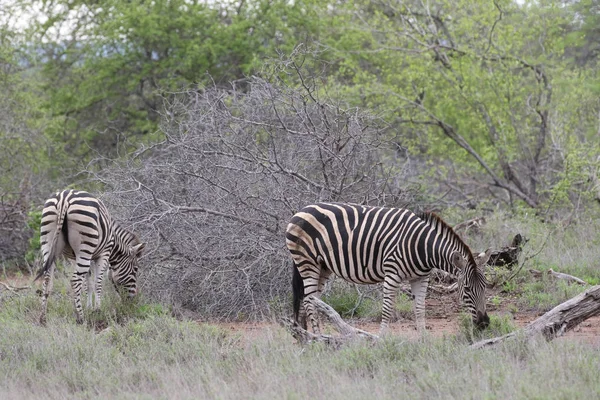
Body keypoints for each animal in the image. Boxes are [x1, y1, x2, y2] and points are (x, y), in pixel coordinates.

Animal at [35, 189, 145, 324]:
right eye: (136, 269)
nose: (133, 300)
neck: (114, 241)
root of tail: (64, 198)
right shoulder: (103, 253)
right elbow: (98, 282)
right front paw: (97, 310)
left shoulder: (79, 257)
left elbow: (88, 283)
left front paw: (89, 307)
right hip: (84, 245)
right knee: (75, 281)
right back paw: (80, 318)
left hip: (48, 243)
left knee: (47, 279)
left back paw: (43, 317)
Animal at [284, 203, 490, 334]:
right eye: (467, 289)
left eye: (485, 288)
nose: (484, 323)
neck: (422, 247)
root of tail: (300, 210)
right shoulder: (392, 274)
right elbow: (387, 309)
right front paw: (381, 341)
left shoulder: (421, 278)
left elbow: (420, 309)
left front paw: (424, 341)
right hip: (307, 263)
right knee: (309, 301)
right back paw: (318, 339)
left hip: (323, 266)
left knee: (309, 300)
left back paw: (305, 338)